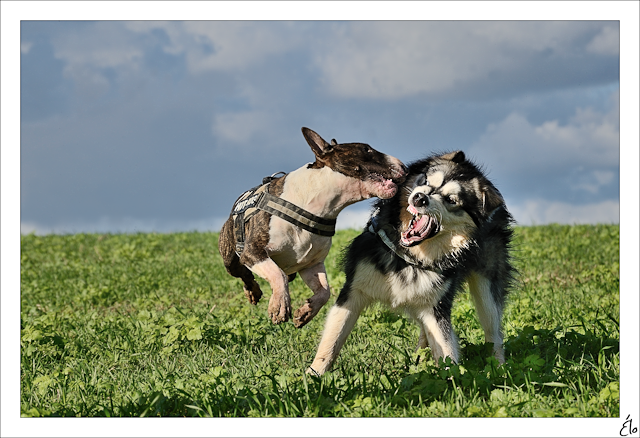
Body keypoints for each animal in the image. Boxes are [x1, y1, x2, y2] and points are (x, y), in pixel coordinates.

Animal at [218, 128, 408, 326]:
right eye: (366, 149)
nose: (404, 167)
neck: (316, 204)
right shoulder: (254, 251)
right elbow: (278, 274)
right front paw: (279, 305)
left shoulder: (312, 264)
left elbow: (325, 291)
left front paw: (306, 312)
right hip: (231, 257)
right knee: (244, 273)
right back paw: (253, 291)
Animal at [308, 152, 516, 374]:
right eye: (425, 181)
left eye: (451, 199)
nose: (419, 197)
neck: (409, 257)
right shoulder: (353, 290)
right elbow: (332, 339)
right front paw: (314, 375)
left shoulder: (436, 306)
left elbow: (446, 349)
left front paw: (452, 380)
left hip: (486, 287)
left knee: (493, 331)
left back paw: (499, 369)